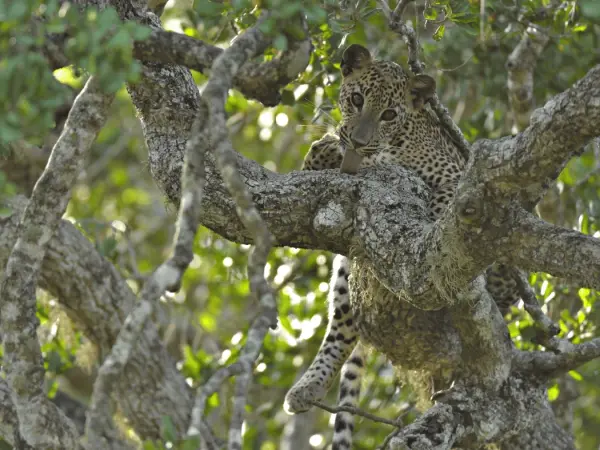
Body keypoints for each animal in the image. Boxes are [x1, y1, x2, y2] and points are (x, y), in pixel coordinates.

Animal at [282, 43, 520, 450]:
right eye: (356, 99)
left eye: (389, 114)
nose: (359, 141)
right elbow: (321, 157)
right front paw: (328, 150)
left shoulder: (454, 177)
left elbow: (446, 211)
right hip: (349, 274)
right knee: (344, 323)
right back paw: (308, 387)